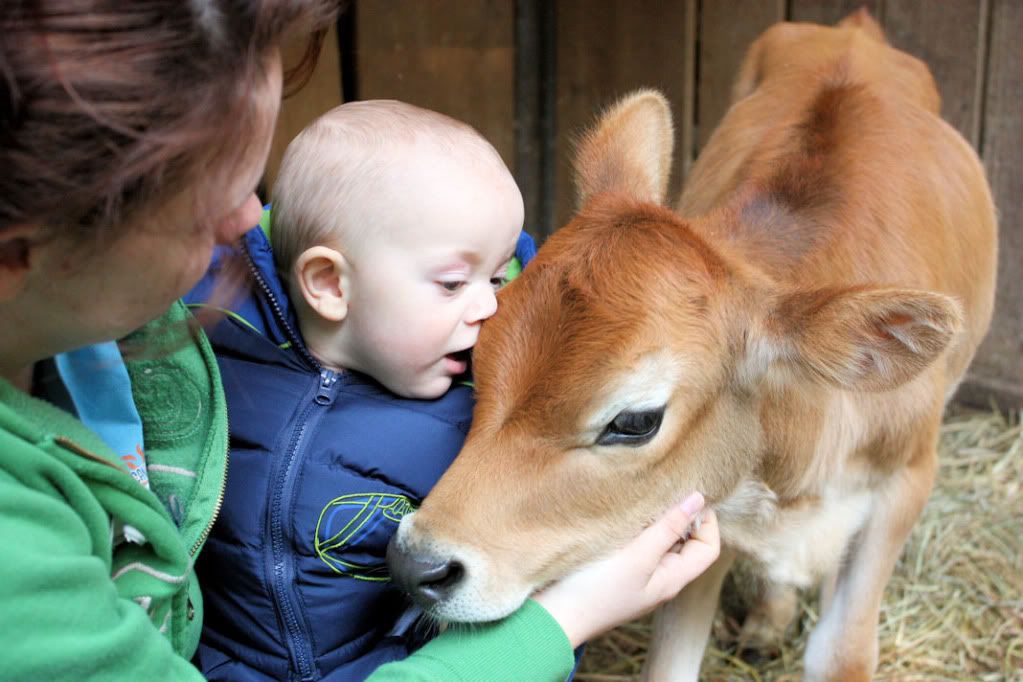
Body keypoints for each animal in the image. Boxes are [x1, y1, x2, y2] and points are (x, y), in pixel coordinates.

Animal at [387, 9, 998, 681]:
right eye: (479, 358)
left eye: (635, 421)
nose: (416, 564)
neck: (792, 471)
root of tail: (856, 29)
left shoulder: (905, 484)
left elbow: (842, 655)